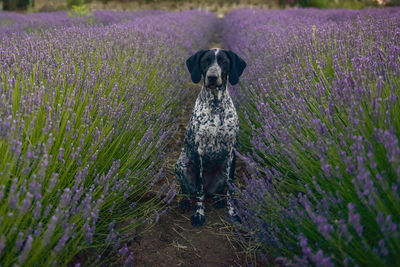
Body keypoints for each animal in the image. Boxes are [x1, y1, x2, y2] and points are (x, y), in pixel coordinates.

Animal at [173, 49, 245, 227]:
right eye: (205, 61)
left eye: (224, 62)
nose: (212, 77)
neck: (215, 106)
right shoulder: (199, 152)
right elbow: (198, 190)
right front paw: (198, 214)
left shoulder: (231, 153)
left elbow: (230, 189)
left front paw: (233, 213)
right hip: (181, 165)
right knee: (189, 191)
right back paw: (185, 201)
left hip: (222, 171)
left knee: (219, 190)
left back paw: (218, 200)